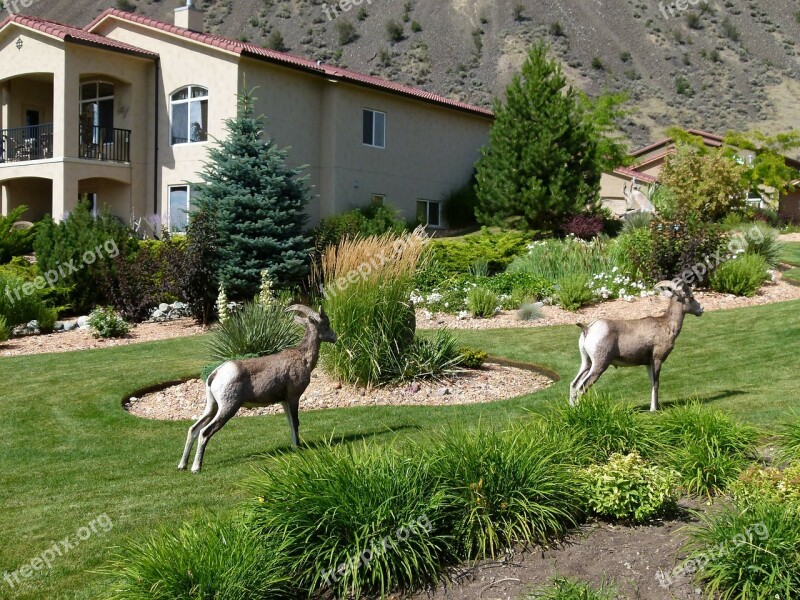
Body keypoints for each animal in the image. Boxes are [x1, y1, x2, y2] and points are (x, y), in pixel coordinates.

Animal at [177, 304, 336, 474]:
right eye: (326, 324)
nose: (335, 337)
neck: (303, 358)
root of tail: (216, 374)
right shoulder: (293, 397)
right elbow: (295, 422)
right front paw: (298, 448)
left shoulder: (284, 401)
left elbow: (290, 423)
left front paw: (294, 446)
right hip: (228, 407)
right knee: (205, 432)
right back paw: (196, 467)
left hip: (212, 407)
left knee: (193, 429)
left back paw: (182, 465)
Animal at [564, 278, 704, 410]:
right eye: (691, 297)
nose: (701, 309)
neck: (667, 325)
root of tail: (588, 329)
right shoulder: (657, 359)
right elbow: (656, 383)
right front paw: (654, 409)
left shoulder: (648, 363)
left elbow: (651, 383)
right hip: (599, 365)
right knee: (581, 387)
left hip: (587, 363)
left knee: (573, 384)